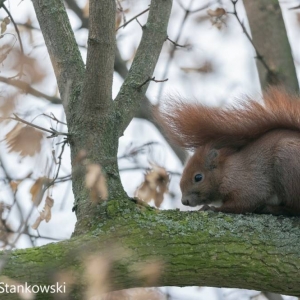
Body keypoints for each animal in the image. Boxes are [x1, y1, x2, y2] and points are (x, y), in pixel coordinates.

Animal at [156, 88, 300, 214]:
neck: (226, 171)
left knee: (294, 207)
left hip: (288, 161)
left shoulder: (249, 185)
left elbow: (243, 202)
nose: (184, 201)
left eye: (198, 177)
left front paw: (212, 208)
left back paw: (273, 209)